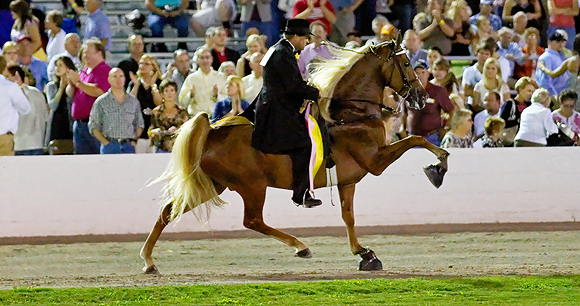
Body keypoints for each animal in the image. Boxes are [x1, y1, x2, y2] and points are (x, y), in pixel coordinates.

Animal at [139, 41, 448, 272]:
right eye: (406, 64)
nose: (421, 97)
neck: (350, 114)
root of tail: (212, 131)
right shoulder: (376, 161)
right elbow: (416, 139)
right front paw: (438, 166)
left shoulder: (349, 181)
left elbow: (348, 217)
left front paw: (364, 254)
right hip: (252, 186)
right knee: (252, 221)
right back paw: (301, 246)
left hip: (216, 185)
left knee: (167, 211)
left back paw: (149, 261)